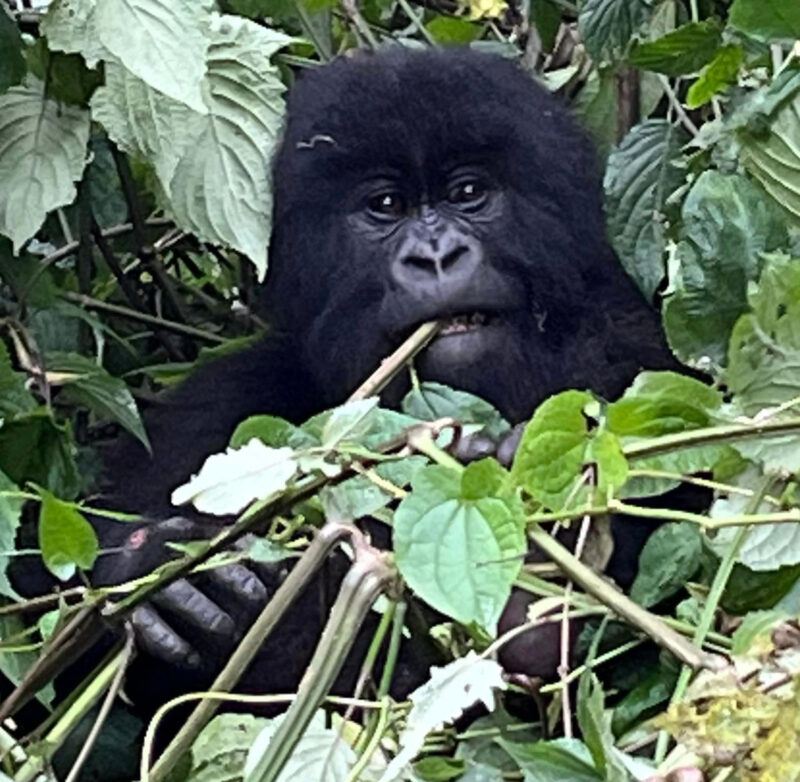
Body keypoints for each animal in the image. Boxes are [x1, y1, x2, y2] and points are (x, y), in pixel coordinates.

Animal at [86, 50, 676, 704]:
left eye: (468, 192)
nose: (436, 256)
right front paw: (168, 578)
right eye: (386, 206)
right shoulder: (212, 414)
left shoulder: (634, 354)